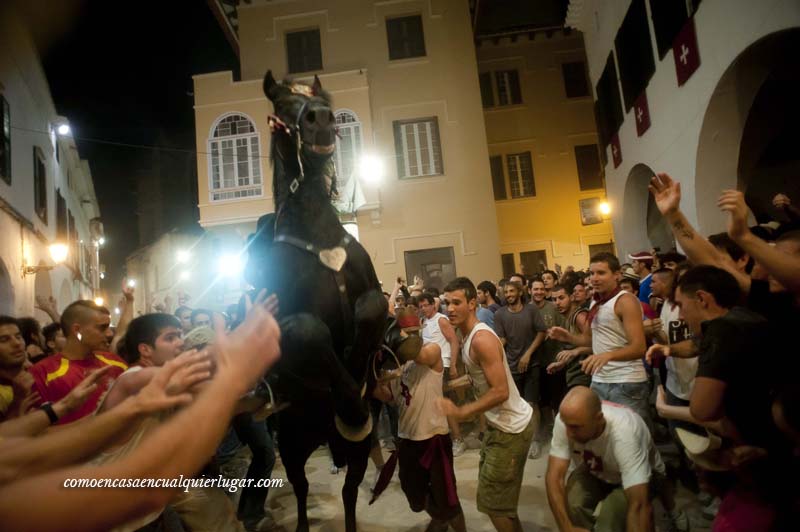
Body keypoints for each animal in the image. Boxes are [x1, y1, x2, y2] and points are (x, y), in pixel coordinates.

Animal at [247, 71, 390, 532]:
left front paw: (356, 395)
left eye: (321, 97)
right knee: (302, 487)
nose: (322, 120)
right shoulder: (285, 326)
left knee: (349, 492)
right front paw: (349, 400)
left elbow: (370, 311)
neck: (317, 236)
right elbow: (312, 332)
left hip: (352, 455)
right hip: (293, 442)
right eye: (280, 102)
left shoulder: (371, 296)